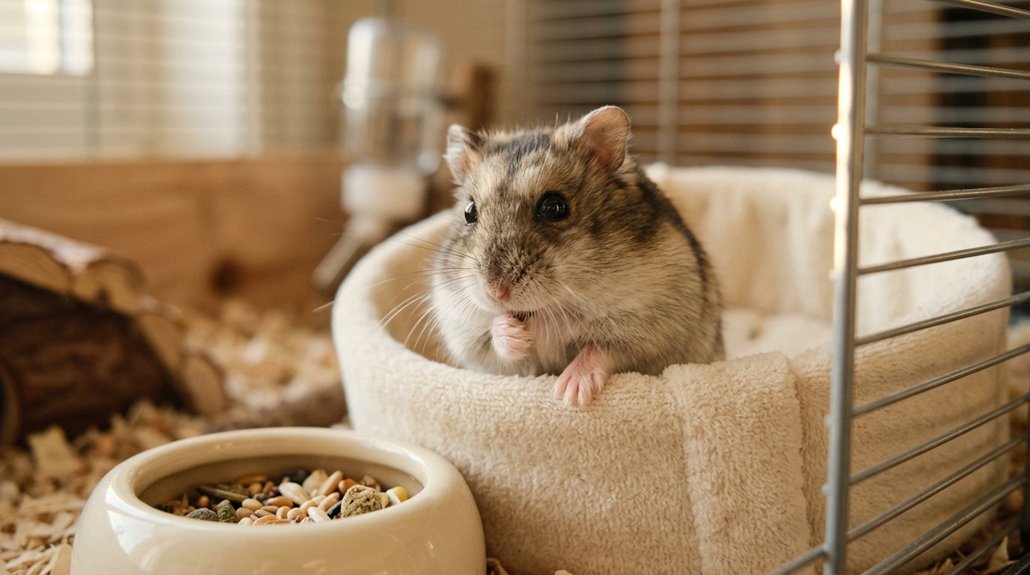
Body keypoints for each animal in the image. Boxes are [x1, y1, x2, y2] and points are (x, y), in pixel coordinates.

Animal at [429, 106, 723, 407]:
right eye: (469, 211)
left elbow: (601, 350)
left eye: (554, 207)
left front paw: (569, 394)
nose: (496, 291)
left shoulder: (651, 330)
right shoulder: (465, 331)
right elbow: (493, 339)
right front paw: (515, 334)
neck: (547, 309)